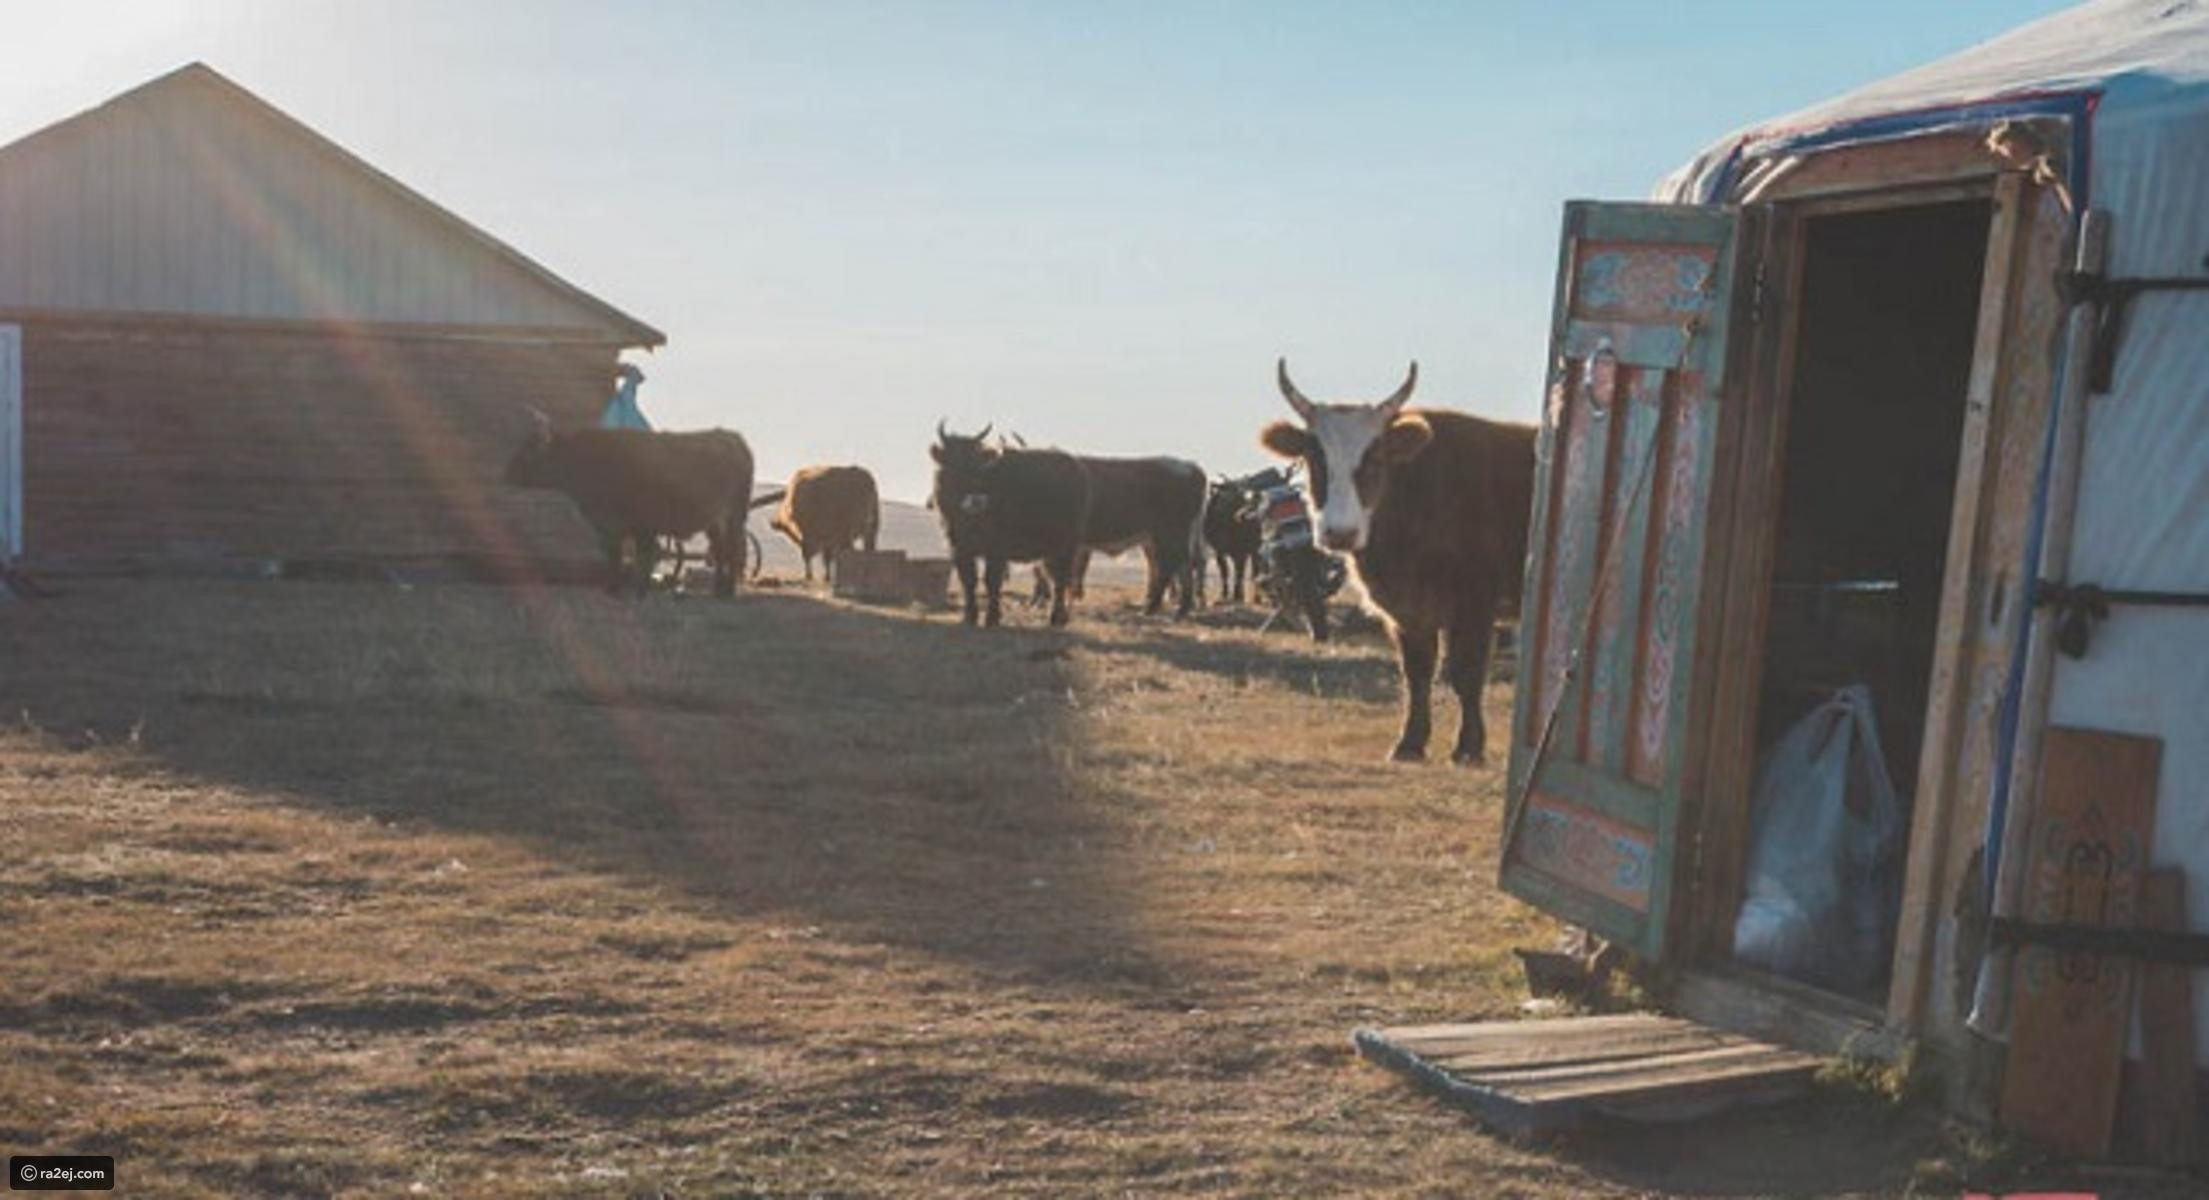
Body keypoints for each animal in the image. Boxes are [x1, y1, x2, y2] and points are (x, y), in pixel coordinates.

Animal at [927, 422, 1082, 627]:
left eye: (979, 468)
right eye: (952, 465)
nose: (976, 500)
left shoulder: (997, 548)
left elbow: (992, 580)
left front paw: (992, 617)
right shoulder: (959, 547)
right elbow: (968, 580)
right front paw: (969, 616)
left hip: (1067, 546)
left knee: (1061, 579)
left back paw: (1057, 617)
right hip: (1051, 551)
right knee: (1055, 577)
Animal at [1210, 477, 1263, 605]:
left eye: (1239, 491)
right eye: (1228, 489)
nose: (1243, 512)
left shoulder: (1241, 551)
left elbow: (1239, 572)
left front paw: (1237, 595)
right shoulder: (1219, 551)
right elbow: (1224, 571)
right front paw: (1224, 594)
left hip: (1254, 549)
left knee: (1254, 570)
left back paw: (1256, 597)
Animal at [1263, 362, 1537, 764]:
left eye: (1375, 458)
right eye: (1315, 458)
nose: (1340, 533)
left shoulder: (1475, 604)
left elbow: (1466, 673)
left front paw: (1468, 746)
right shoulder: (1408, 612)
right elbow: (1417, 673)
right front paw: (1410, 742)